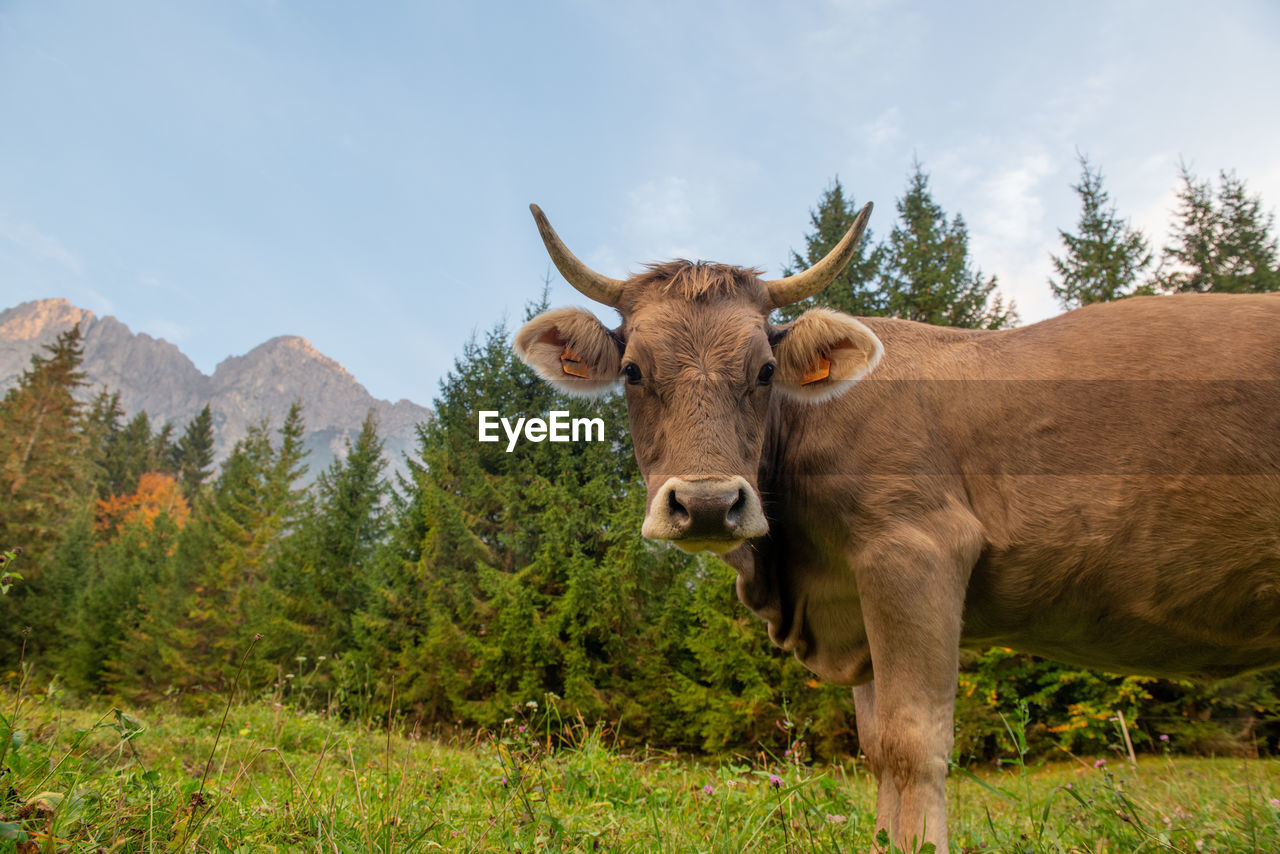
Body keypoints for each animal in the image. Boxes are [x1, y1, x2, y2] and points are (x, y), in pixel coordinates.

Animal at [512, 203, 1280, 850]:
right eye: (633, 371)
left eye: (764, 369)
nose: (705, 503)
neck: (797, 580)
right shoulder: (856, 597)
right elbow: (878, 746)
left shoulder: (915, 552)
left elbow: (915, 744)